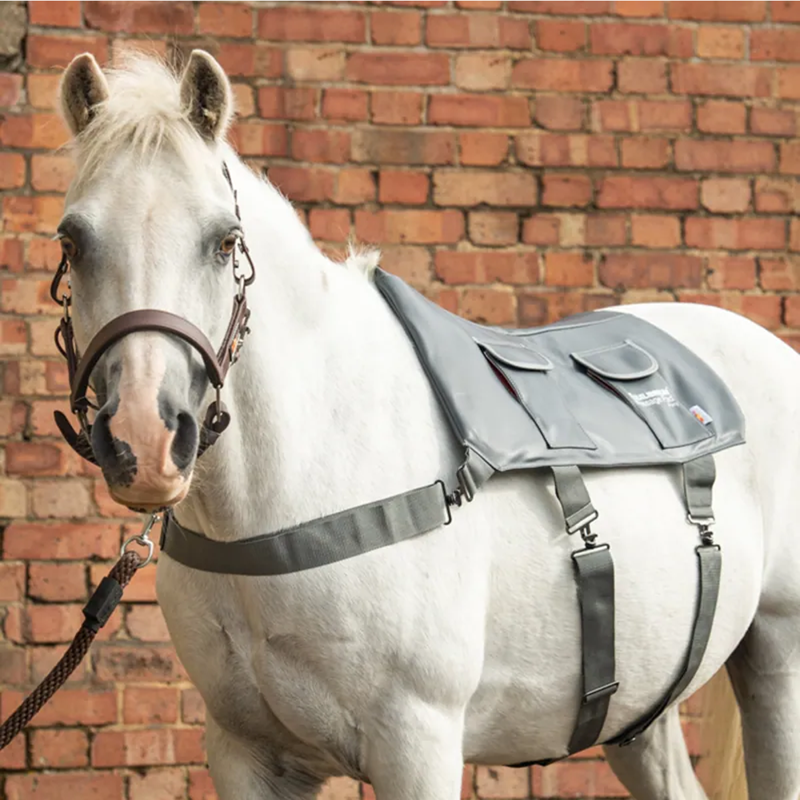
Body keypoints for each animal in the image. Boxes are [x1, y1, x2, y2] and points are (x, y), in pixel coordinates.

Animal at [53, 50, 800, 799]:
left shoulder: (418, 742)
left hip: (779, 663)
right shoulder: (244, 751)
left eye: (224, 241)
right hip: (638, 709)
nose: (145, 441)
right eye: (72, 240)